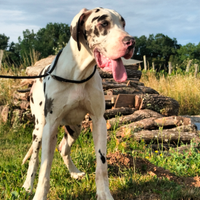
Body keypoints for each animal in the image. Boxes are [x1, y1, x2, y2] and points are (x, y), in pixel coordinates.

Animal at [21, 7, 134, 199]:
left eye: (123, 24)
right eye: (103, 23)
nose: (131, 42)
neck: (79, 74)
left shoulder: (99, 121)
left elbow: (101, 166)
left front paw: (104, 194)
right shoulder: (50, 126)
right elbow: (44, 169)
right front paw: (39, 194)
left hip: (75, 127)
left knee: (63, 148)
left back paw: (74, 172)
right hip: (39, 129)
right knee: (35, 158)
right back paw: (28, 185)